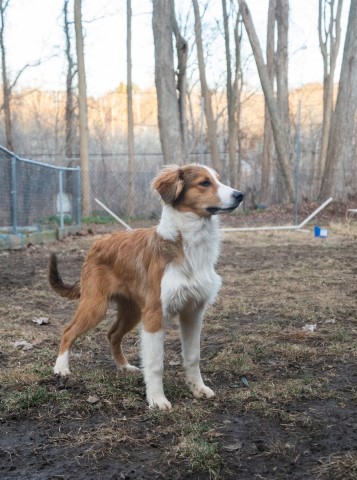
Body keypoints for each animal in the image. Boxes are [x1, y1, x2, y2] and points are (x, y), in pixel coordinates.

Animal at [48, 164, 243, 408]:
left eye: (218, 179)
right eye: (204, 183)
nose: (240, 195)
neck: (187, 244)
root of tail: (97, 243)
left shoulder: (193, 311)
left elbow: (193, 356)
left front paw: (197, 388)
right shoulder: (154, 315)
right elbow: (155, 364)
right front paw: (157, 399)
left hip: (132, 311)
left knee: (113, 335)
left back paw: (124, 366)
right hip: (95, 306)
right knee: (68, 331)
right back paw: (61, 368)